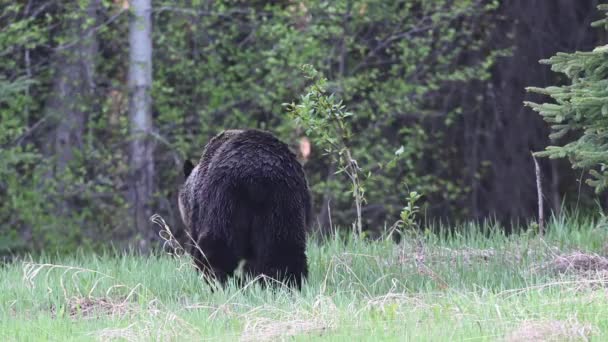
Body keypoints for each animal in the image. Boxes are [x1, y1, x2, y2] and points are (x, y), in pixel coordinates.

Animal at [178, 128, 312, 288]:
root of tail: (257, 176)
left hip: (225, 201)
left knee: (218, 245)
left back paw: (217, 280)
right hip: (284, 204)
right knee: (284, 250)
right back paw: (286, 283)